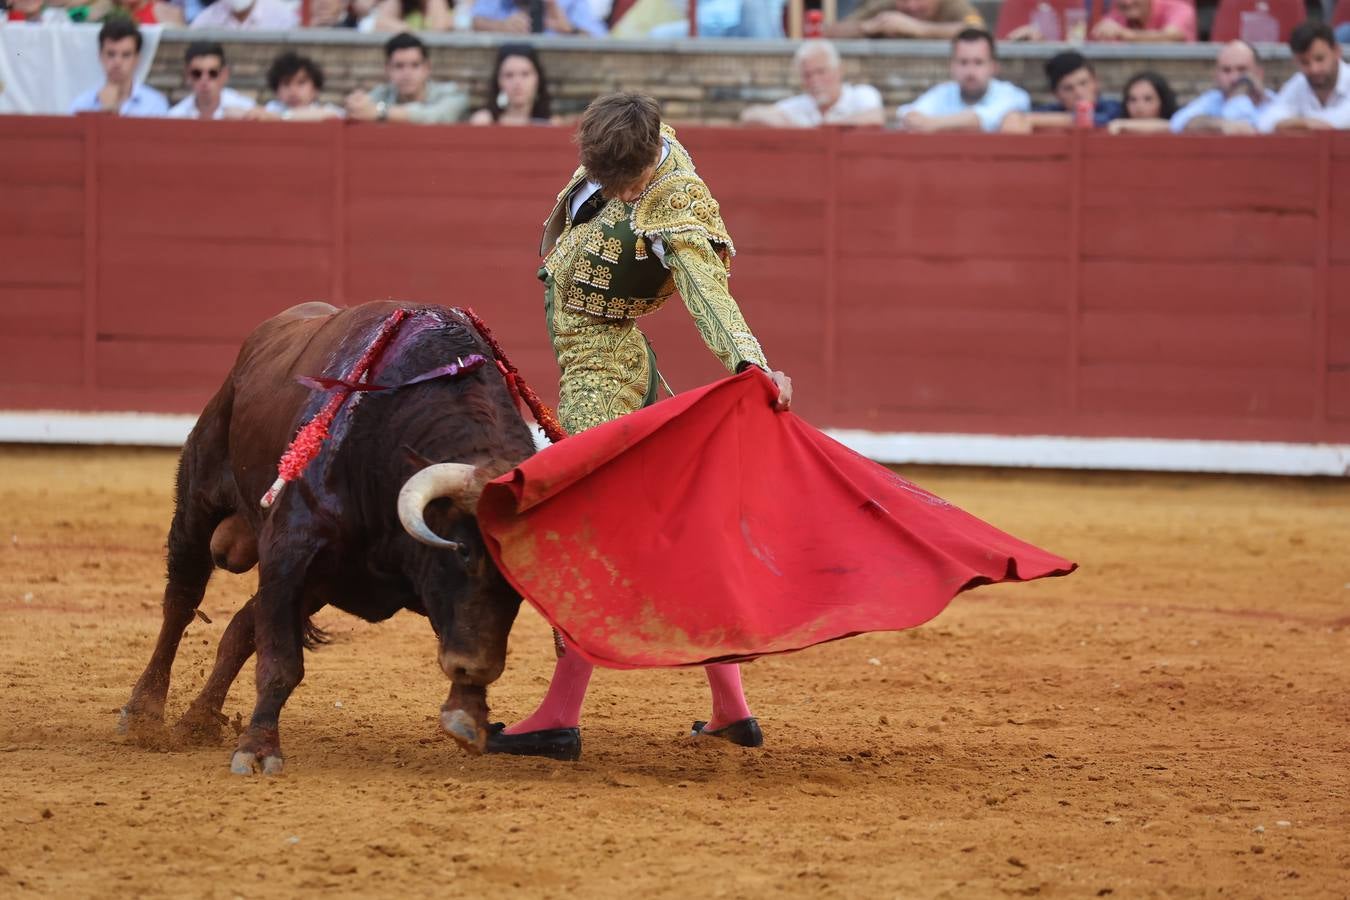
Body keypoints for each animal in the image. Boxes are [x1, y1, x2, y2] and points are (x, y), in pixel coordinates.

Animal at [118, 302, 534, 777]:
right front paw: (258, 750)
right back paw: (144, 711)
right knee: (181, 603)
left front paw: (468, 710)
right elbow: (281, 663)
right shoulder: (288, 555)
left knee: (240, 628)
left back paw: (199, 720)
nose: (479, 669)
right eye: (463, 550)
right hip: (198, 499)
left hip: (316, 584)